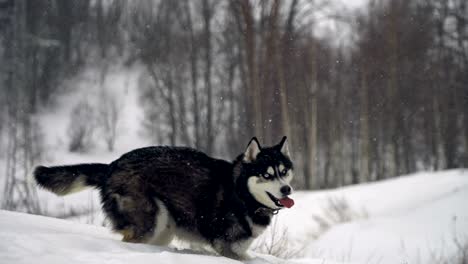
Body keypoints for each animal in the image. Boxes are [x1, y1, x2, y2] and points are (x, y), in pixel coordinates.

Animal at [34, 137, 294, 258]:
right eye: (266, 175)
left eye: (283, 172)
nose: (286, 190)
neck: (241, 194)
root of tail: (112, 165)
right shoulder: (226, 246)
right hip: (151, 221)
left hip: (164, 228)